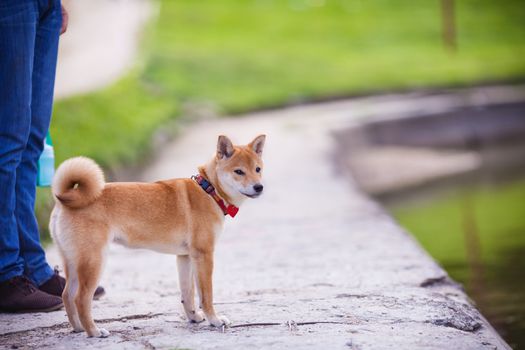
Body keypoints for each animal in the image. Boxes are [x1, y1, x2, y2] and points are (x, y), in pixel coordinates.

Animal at [49, 134, 266, 336]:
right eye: (239, 171)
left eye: (258, 169)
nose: (259, 187)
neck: (209, 191)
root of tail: (63, 201)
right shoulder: (204, 255)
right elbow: (206, 295)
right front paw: (215, 320)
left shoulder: (185, 257)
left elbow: (187, 293)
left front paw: (193, 317)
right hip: (94, 261)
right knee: (81, 299)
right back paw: (93, 331)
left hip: (73, 261)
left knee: (67, 295)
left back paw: (78, 328)